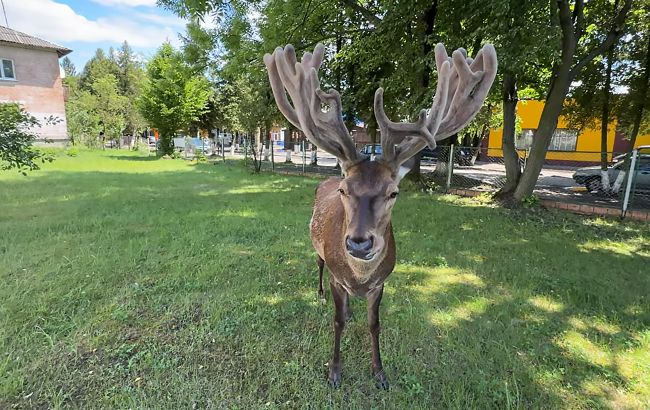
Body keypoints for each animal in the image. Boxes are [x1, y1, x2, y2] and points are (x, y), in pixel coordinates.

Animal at [264, 42, 497, 390]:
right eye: (345, 190)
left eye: (393, 192)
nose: (359, 243)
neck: (359, 278)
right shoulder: (337, 277)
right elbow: (337, 322)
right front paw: (334, 373)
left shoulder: (381, 283)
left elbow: (375, 325)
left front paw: (380, 373)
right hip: (317, 250)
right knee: (318, 268)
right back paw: (319, 295)